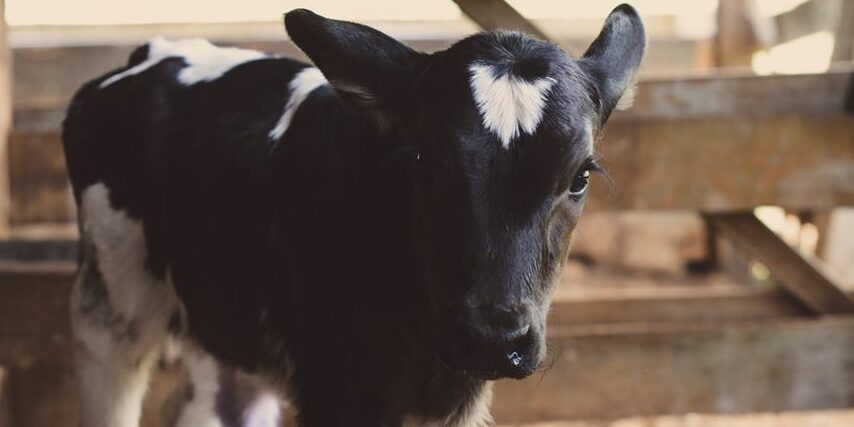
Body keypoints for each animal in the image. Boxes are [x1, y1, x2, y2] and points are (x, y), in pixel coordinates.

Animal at [62, 5, 645, 426]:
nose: (492, 338)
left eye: (580, 176)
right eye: (424, 161)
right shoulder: (335, 388)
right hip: (109, 306)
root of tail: (158, 49)